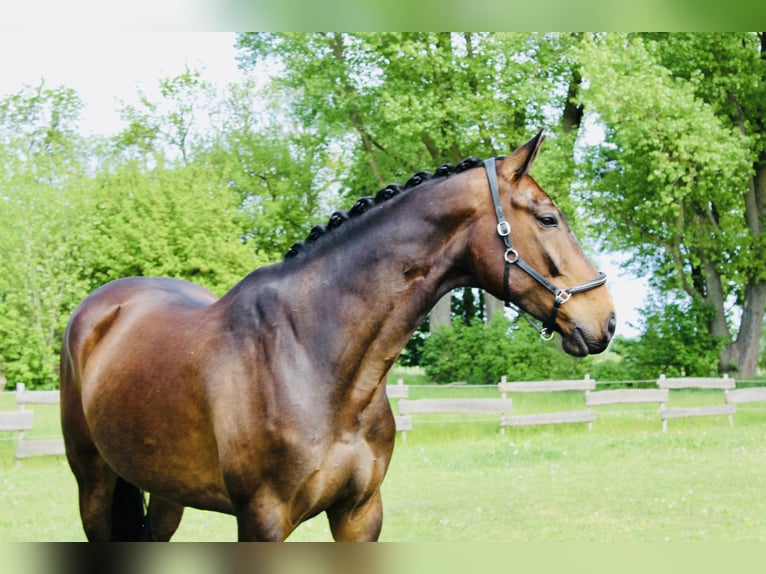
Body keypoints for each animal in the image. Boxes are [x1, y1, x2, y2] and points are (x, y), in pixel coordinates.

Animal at [60, 130, 615, 541]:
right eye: (548, 218)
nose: (605, 319)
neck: (315, 356)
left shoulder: (360, 514)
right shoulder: (262, 521)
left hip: (165, 490)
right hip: (94, 486)